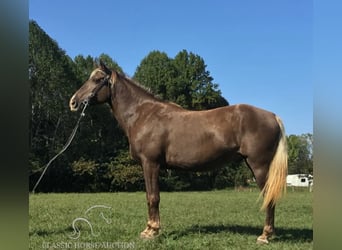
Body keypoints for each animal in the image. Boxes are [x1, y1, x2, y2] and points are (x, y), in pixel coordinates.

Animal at [70, 61, 288, 244]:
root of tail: (272, 116)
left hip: (259, 166)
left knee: (269, 198)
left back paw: (265, 236)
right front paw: (150, 229)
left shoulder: (150, 164)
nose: (73, 102)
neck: (143, 114)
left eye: (97, 80)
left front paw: (151, 231)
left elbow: (153, 197)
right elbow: (150, 196)